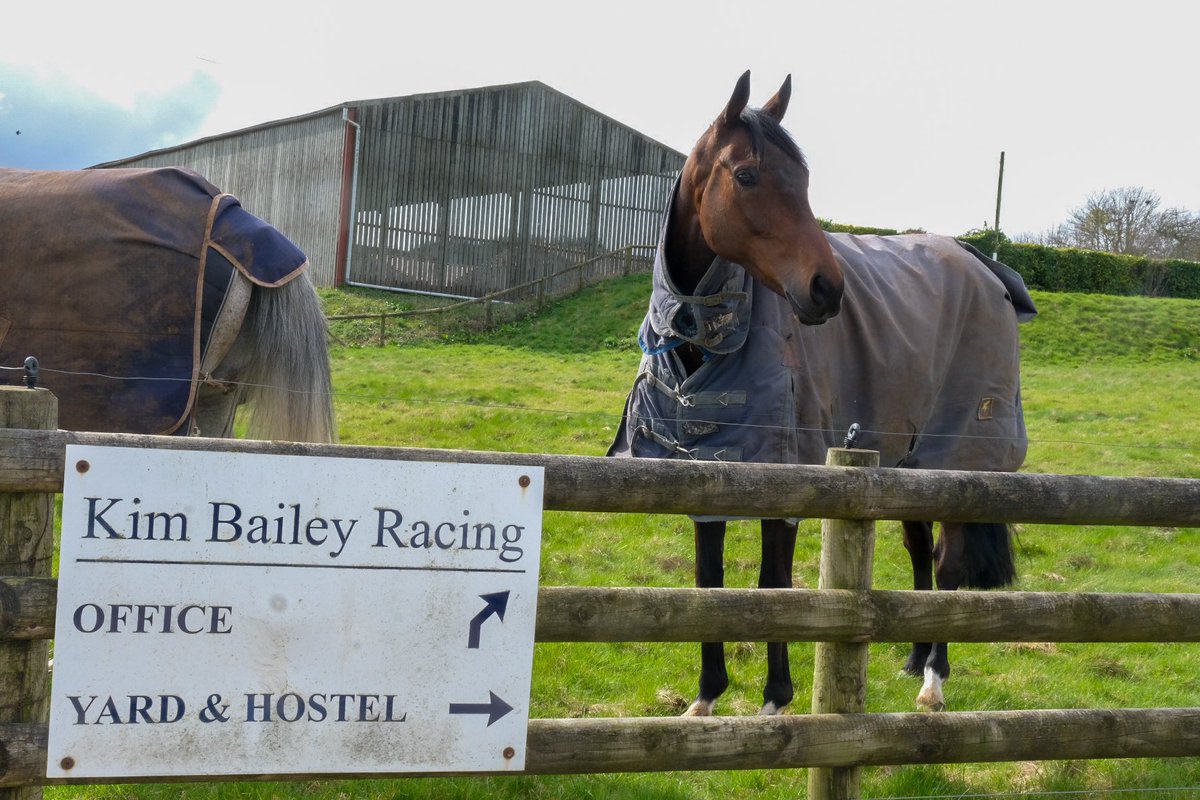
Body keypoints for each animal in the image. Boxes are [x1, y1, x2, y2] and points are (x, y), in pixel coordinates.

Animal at [609, 73, 1032, 714]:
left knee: (948, 561)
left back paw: (934, 680)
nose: (827, 289)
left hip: (960, 458)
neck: (705, 336)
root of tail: (982, 266)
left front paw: (775, 699)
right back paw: (912, 660)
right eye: (746, 175)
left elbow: (773, 586)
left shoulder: (790, 476)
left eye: (805, 181)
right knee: (918, 549)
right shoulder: (704, 472)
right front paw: (705, 699)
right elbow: (710, 582)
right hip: (907, 460)